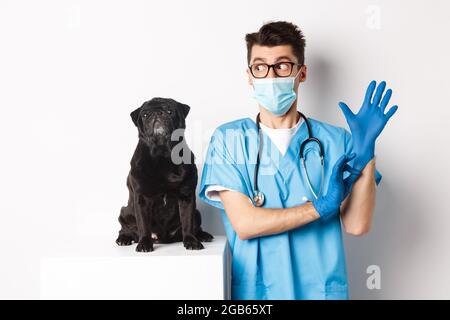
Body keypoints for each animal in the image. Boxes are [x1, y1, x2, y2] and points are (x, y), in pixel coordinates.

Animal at [116, 97, 214, 252]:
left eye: (169, 111)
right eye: (145, 115)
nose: (157, 113)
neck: (162, 154)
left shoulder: (186, 196)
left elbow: (188, 222)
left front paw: (191, 241)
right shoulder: (142, 198)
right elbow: (143, 225)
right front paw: (144, 244)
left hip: (197, 213)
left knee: (195, 225)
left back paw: (203, 235)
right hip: (124, 212)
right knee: (125, 228)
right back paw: (124, 238)